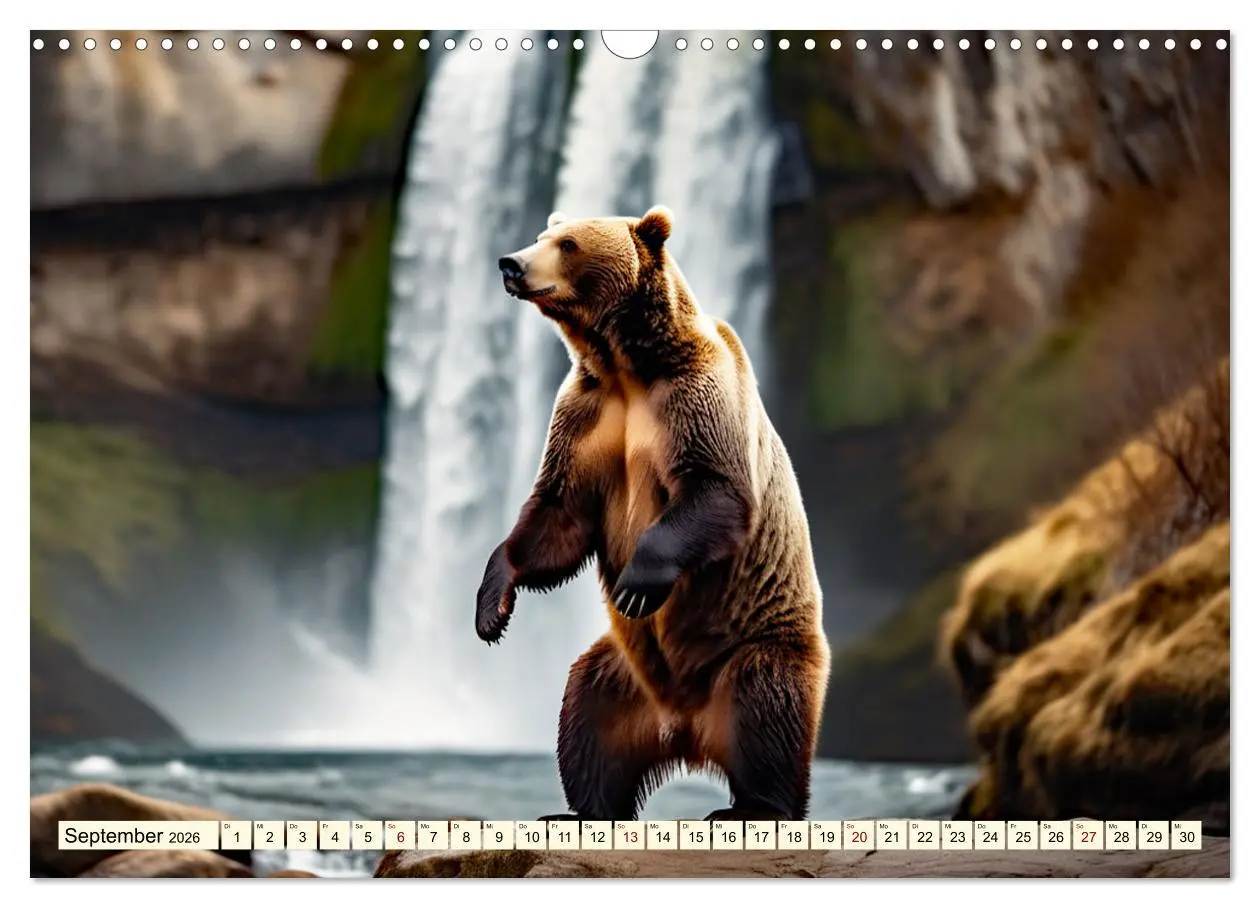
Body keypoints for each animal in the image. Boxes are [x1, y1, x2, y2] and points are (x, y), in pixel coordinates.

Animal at [475, 205, 830, 822]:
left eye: (567, 244)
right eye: (543, 235)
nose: (511, 263)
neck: (627, 365)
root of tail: (686, 731)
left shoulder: (695, 397)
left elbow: (716, 490)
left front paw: (637, 585)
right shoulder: (588, 416)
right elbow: (558, 516)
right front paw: (493, 607)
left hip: (755, 646)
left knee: (766, 712)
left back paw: (751, 807)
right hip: (623, 674)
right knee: (586, 719)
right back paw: (580, 810)